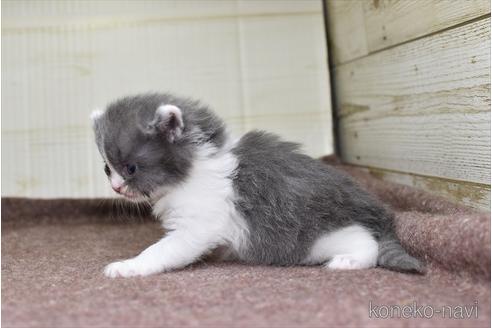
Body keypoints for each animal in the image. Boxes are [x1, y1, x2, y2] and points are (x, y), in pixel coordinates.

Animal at [91, 92, 422, 276]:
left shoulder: (197, 226)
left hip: (319, 238)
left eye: (131, 168)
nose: (116, 188)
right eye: (107, 168)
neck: (194, 168)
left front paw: (130, 266)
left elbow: (162, 251)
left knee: (366, 242)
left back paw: (349, 261)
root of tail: (378, 214)